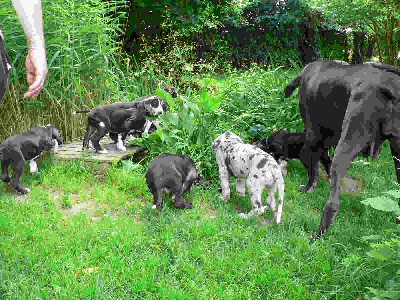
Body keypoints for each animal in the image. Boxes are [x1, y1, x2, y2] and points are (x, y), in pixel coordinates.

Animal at [286, 61, 400, 241]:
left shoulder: (313, 137)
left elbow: (314, 165)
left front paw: (310, 186)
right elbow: (325, 161)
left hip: (347, 144)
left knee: (333, 204)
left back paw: (318, 235)